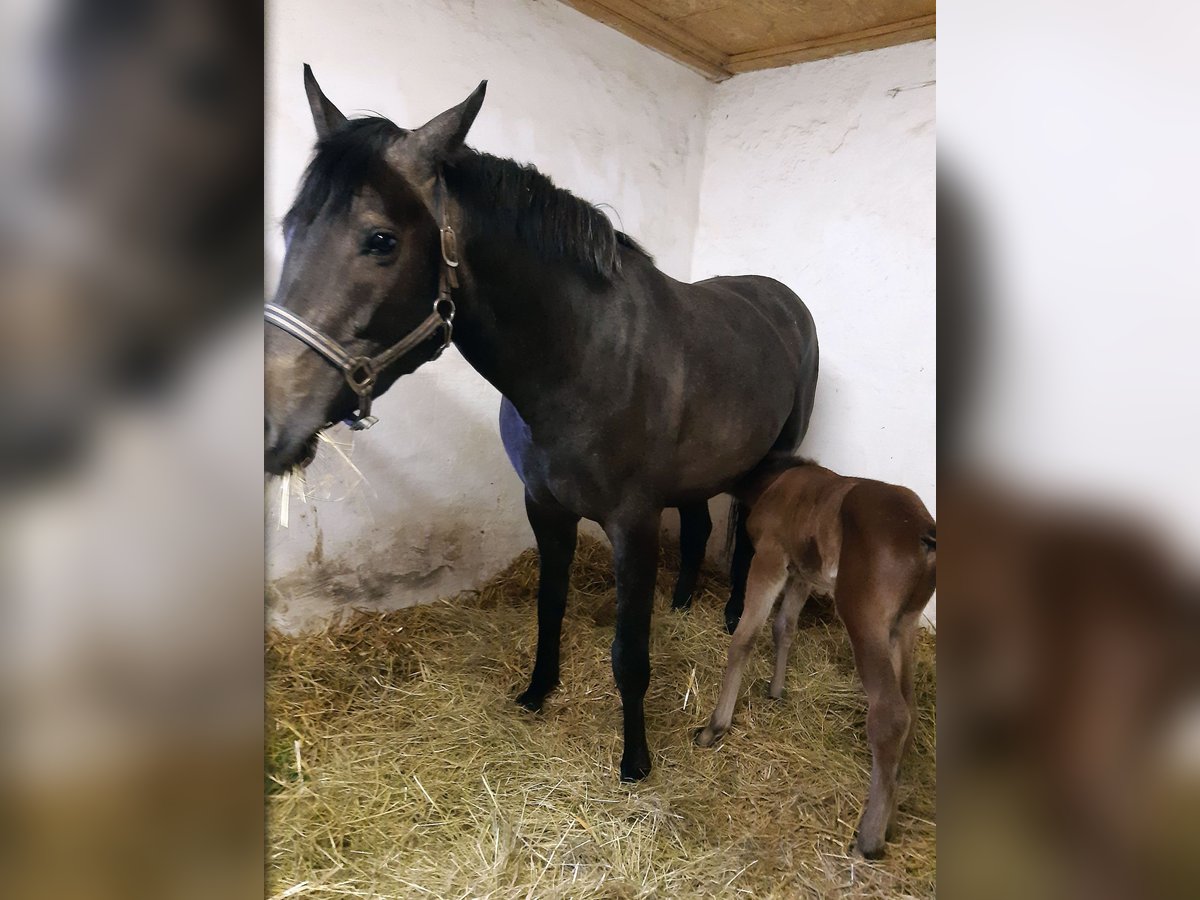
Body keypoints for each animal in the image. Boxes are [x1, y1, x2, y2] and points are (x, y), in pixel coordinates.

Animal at [264, 68, 819, 781]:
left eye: (381, 239)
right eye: (290, 228)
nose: (273, 420)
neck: (581, 361)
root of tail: (783, 300)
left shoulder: (633, 524)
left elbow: (629, 653)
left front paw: (636, 758)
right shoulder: (545, 508)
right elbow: (549, 605)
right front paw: (537, 691)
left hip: (772, 461)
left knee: (747, 540)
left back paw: (727, 613)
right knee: (699, 528)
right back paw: (684, 602)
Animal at [694, 458, 935, 857]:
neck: (776, 482)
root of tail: (924, 533)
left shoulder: (771, 558)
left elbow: (744, 639)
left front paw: (715, 726)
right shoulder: (801, 575)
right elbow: (784, 627)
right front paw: (776, 691)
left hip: (865, 619)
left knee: (891, 715)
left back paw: (870, 839)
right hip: (904, 626)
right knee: (911, 708)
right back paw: (890, 818)